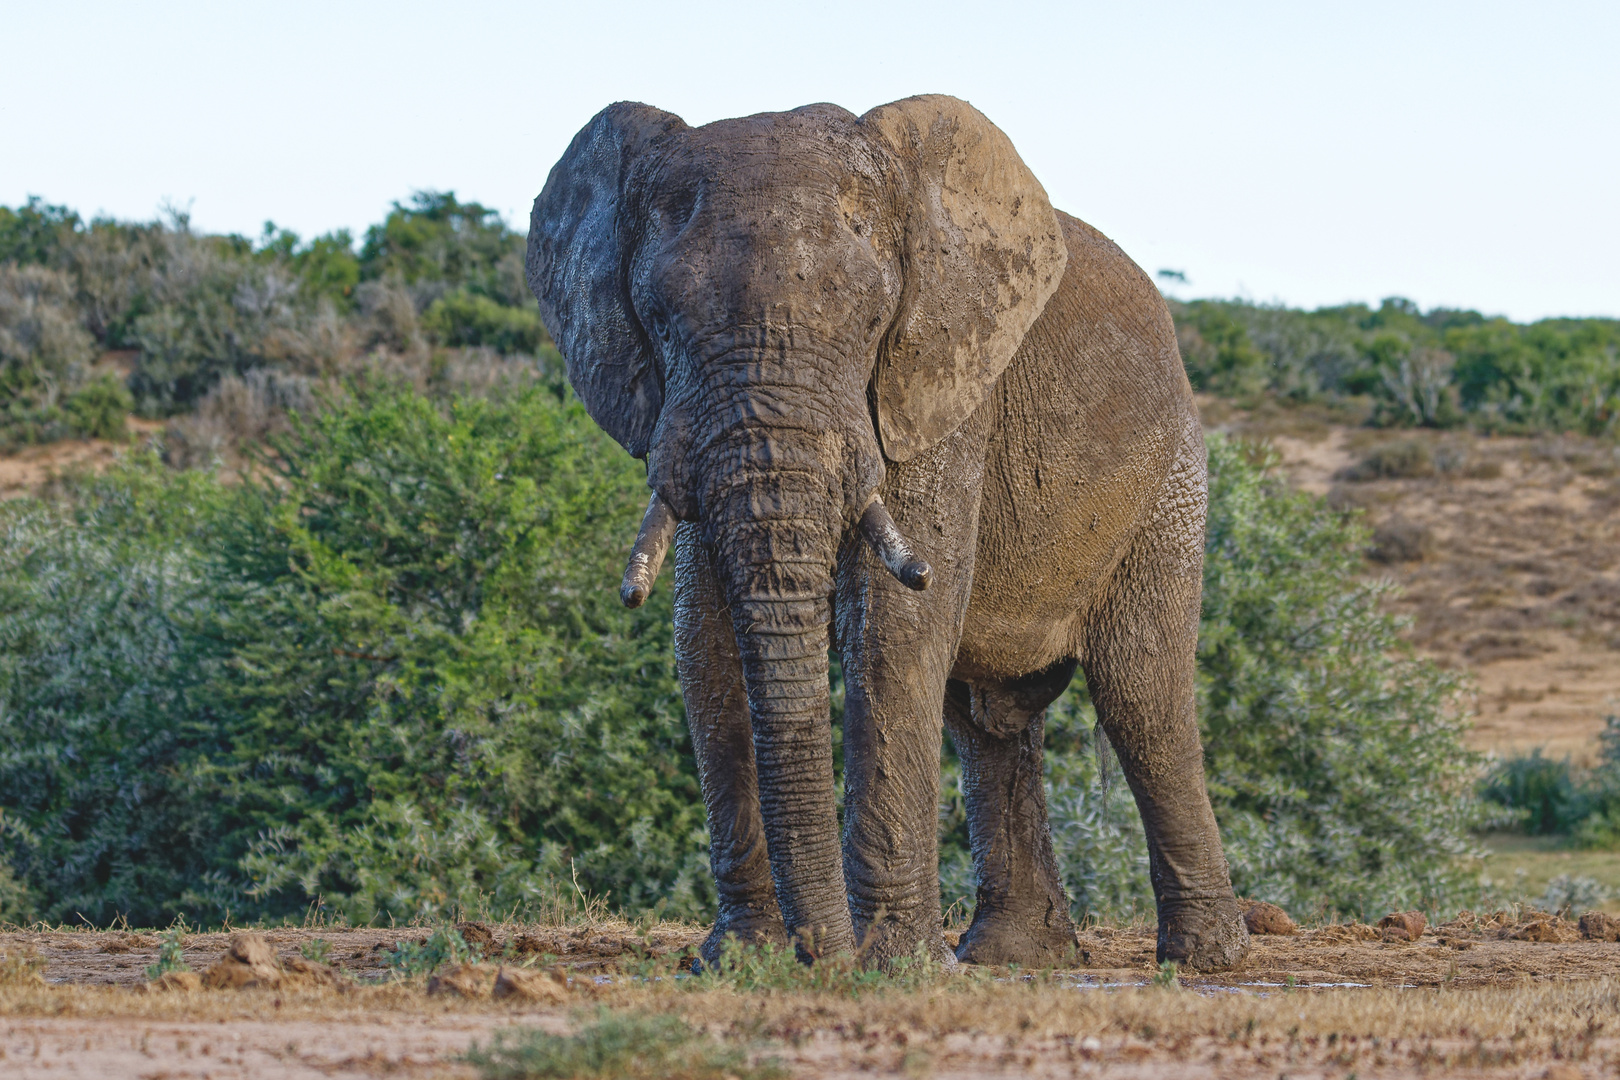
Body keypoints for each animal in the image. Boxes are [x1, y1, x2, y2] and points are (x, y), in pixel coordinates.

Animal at [524, 95, 1244, 971]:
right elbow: (705, 637)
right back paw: (1012, 956)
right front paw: (739, 959)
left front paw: (892, 962)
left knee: (1144, 696)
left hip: (1170, 481)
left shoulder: (938, 385)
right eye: (659, 320)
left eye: (872, 320)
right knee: (986, 725)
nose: (818, 955)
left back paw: (1204, 958)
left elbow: (894, 631)